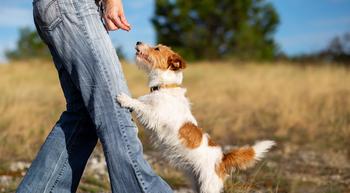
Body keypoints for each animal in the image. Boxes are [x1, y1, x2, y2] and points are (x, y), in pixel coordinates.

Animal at [116, 42, 274, 193]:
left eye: (157, 49)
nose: (138, 41)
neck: (165, 87)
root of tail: (222, 159)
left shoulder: (154, 115)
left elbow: (140, 105)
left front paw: (125, 99)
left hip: (208, 186)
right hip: (196, 182)